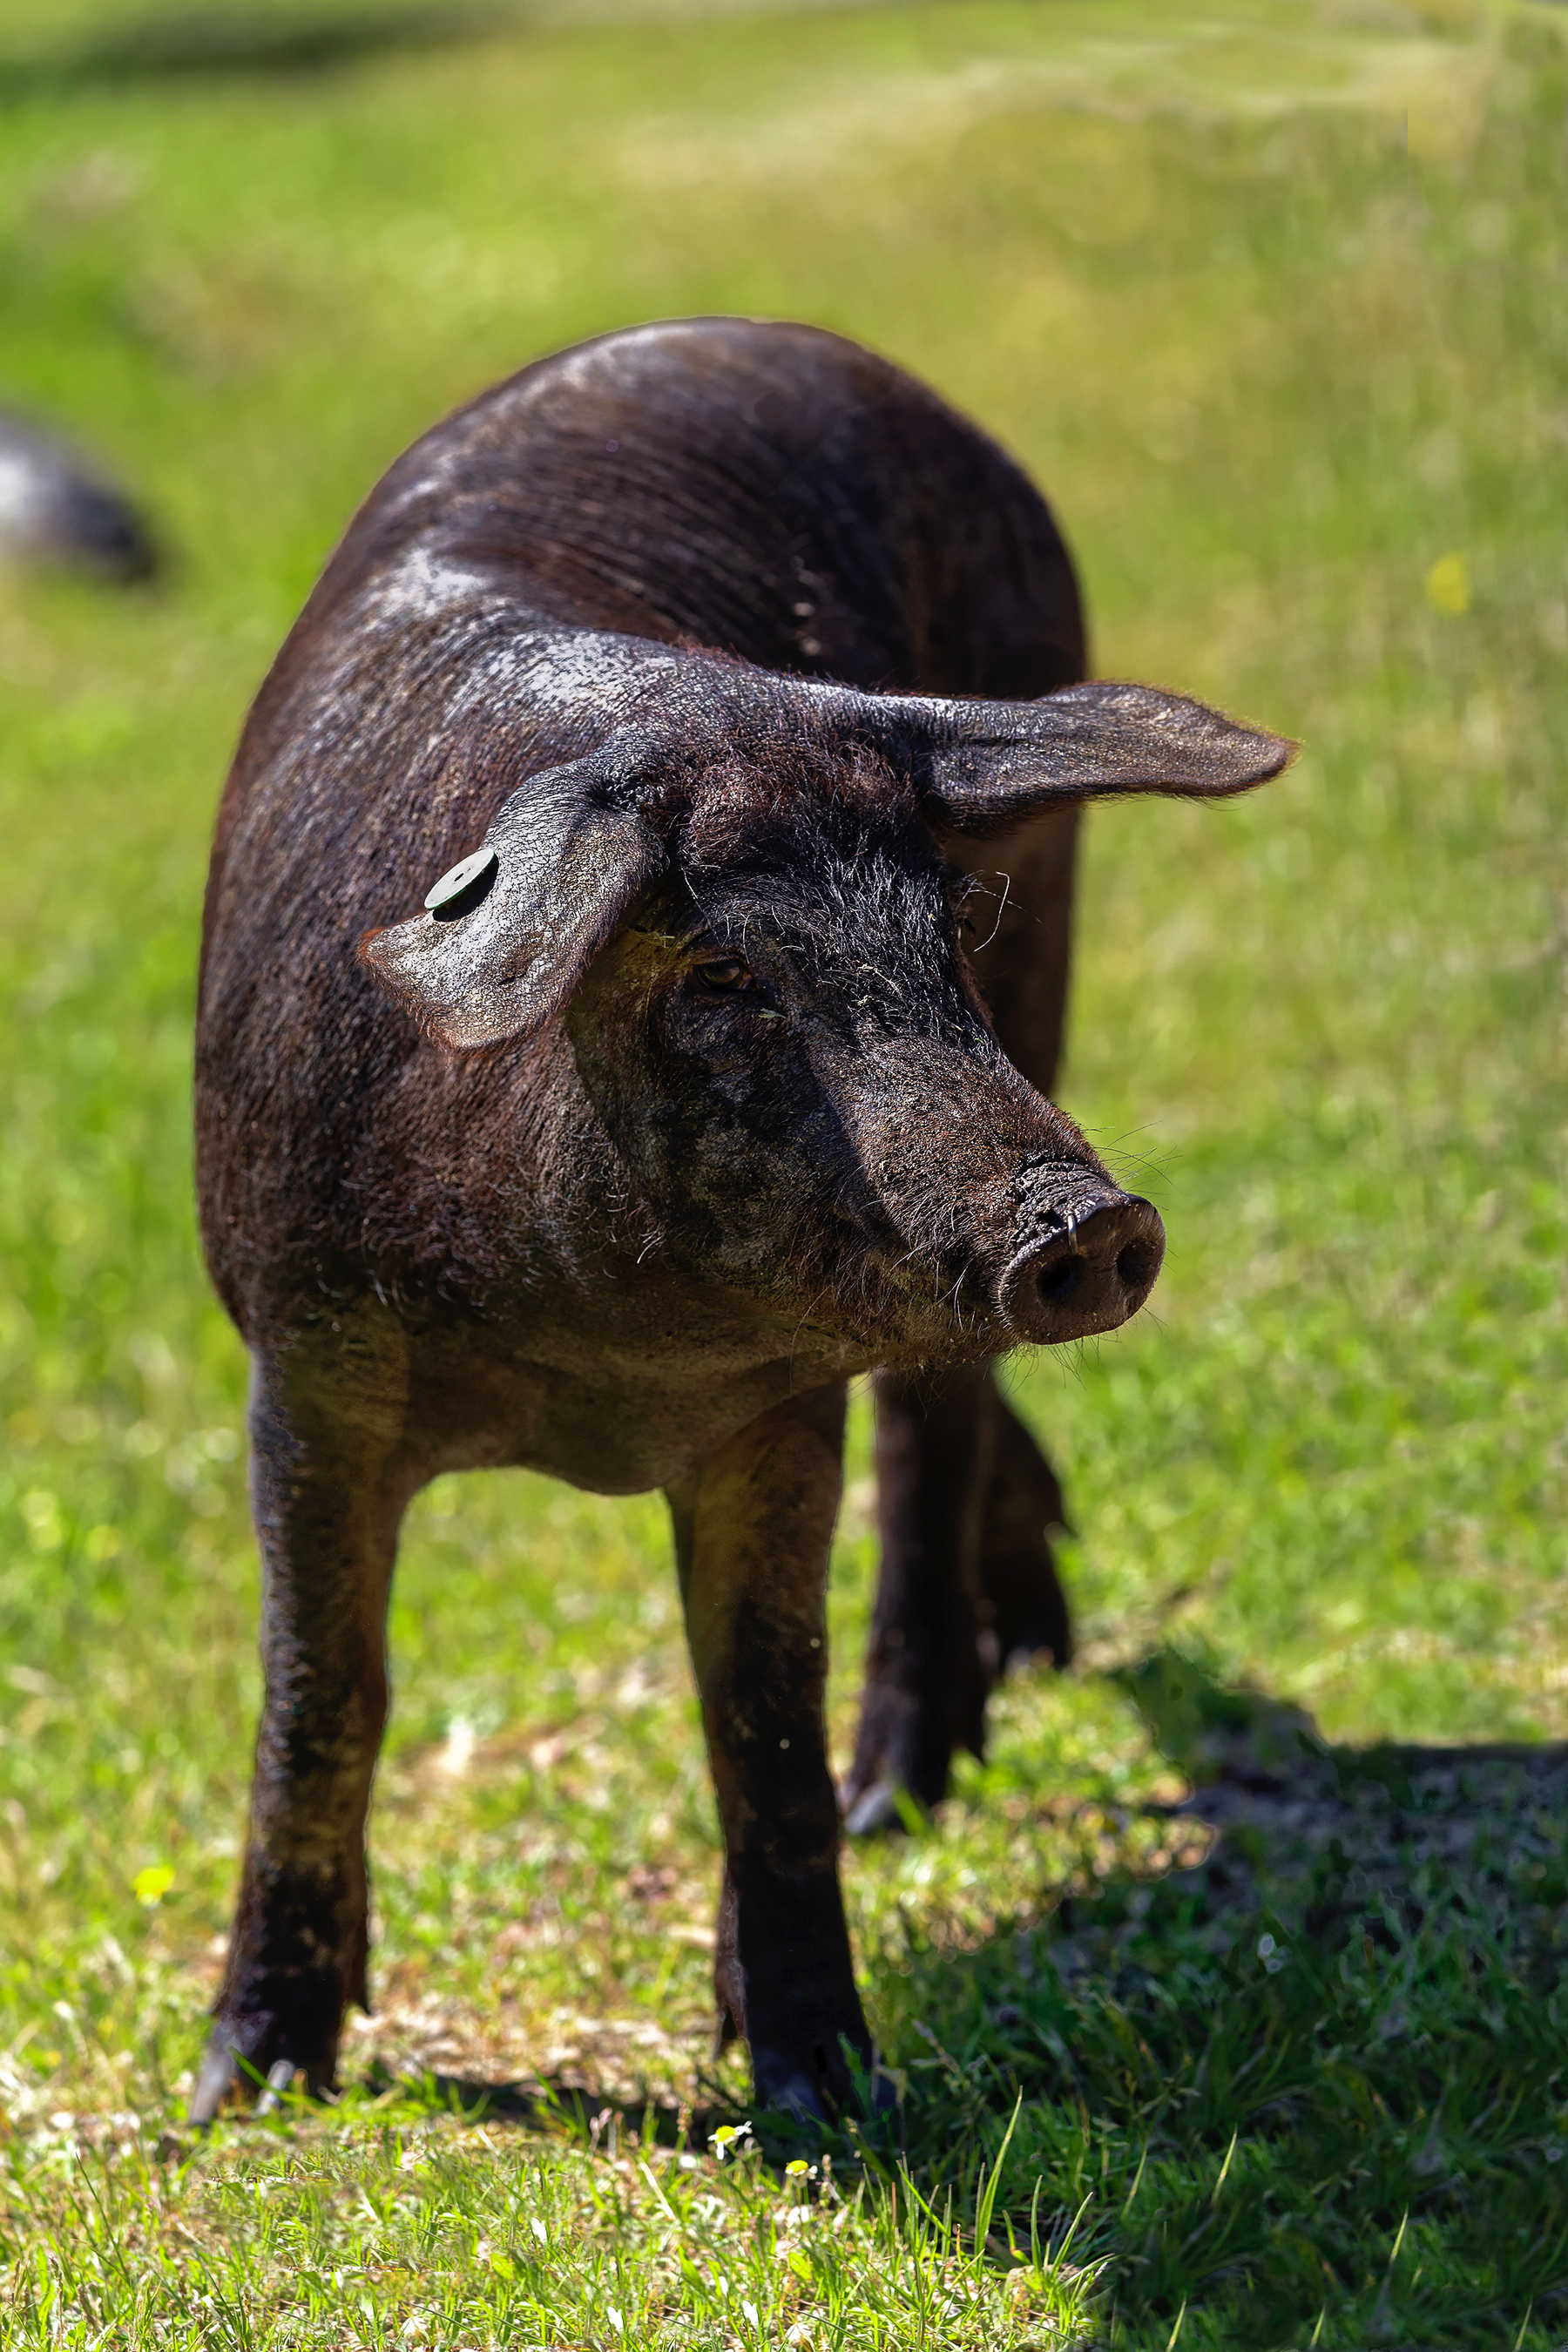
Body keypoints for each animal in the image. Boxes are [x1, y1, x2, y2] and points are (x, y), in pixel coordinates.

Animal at [190, 321, 1288, 2126]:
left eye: (944, 929)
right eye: (719, 974)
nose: (1083, 1217)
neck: (595, 1366)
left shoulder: (780, 1417)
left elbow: (759, 1720)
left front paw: (823, 2099)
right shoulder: (304, 1362)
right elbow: (320, 1700)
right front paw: (246, 2090)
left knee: (934, 1437)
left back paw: (903, 1793)